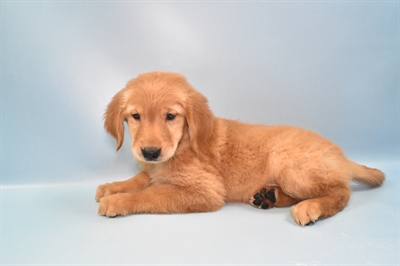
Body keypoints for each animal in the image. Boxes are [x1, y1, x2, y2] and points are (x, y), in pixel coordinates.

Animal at [96, 71, 384, 225]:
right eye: (136, 116)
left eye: (171, 116)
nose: (150, 152)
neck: (185, 143)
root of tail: (341, 156)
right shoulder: (154, 170)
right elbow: (140, 179)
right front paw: (112, 187)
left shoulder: (206, 191)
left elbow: (151, 194)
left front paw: (118, 201)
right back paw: (269, 197)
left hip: (290, 165)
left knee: (341, 192)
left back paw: (310, 207)